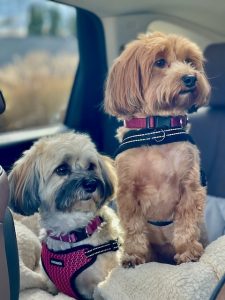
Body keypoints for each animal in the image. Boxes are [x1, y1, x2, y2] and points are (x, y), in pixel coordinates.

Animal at [8, 132, 121, 300]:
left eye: (91, 166)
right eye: (62, 169)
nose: (91, 183)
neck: (72, 233)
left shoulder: (97, 287)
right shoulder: (52, 284)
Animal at [104, 31, 210, 266]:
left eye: (190, 61)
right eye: (160, 62)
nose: (191, 78)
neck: (157, 130)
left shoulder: (190, 185)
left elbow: (187, 220)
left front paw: (188, 251)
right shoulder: (128, 192)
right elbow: (133, 227)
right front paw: (134, 254)